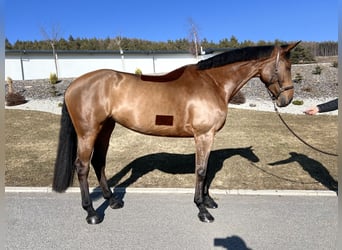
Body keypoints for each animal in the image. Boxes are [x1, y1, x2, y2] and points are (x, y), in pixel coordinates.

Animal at [52, 41, 300, 225]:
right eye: (287, 67)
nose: (286, 100)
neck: (213, 83)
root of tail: (74, 85)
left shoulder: (209, 136)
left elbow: (207, 169)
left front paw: (208, 201)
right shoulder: (204, 135)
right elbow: (201, 171)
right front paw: (202, 210)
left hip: (106, 129)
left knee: (99, 163)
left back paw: (112, 200)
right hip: (88, 132)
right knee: (82, 167)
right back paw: (92, 213)